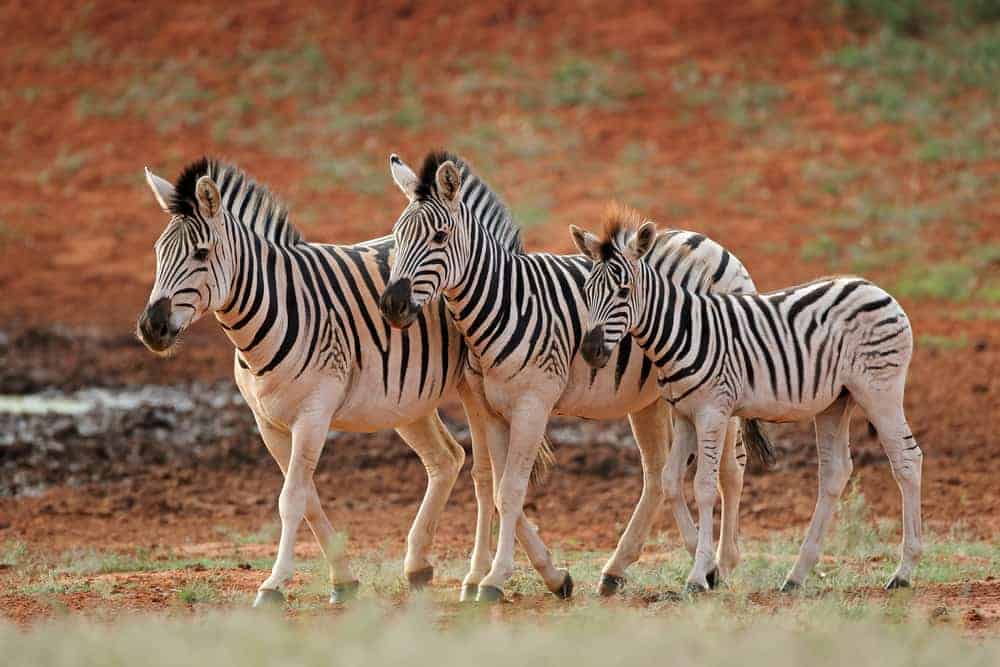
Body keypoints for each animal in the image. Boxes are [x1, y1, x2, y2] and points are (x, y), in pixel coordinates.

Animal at [135, 157, 565, 607]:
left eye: (201, 254)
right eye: (158, 252)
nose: (151, 328)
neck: (274, 309)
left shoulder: (313, 414)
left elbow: (292, 498)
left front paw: (273, 584)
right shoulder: (267, 423)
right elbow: (307, 497)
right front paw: (342, 579)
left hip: (474, 389)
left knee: (486, 476)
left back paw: (500, 576)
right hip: (405, 399)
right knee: (447, 459)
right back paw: (437, 565)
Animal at [379, 151, 772, 602]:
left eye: (440, 237)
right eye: (397, 237)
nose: (391, 305)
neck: (504, 300)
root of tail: (713, 244)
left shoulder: (533, 403)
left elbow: (509, 490)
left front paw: (495, 579)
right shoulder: (490, 406)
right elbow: (494, 486)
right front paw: (535, 575)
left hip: (716, 384)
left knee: (730, 470)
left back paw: (721, 563)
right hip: (650, 397)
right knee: (658, 476)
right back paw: (625, 569)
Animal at [573, 208, 923, 592]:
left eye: (623, 291)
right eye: (586, 291)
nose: (589, 351)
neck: (681, 330)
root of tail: (876, 288)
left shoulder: (712, 410)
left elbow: (703, 485)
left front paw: (699, 576)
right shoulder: (685, 414)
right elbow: (670, 480)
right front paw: (707, 568)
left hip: (879, 390)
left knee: (907, 459)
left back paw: (903, 572)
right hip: (837, 400)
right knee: (835, 471)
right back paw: (796, 576)